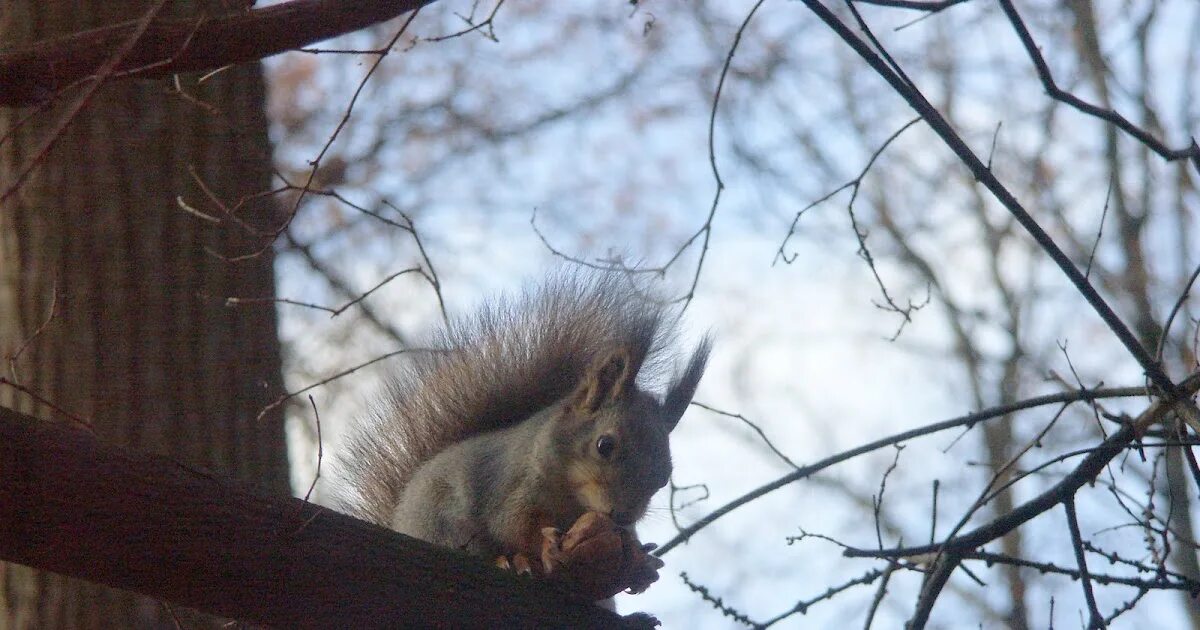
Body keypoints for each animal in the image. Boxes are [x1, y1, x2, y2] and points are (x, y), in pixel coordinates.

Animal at [338, 270, 705, 600]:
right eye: (604, 445)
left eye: (664, 478)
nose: (624, 515)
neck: (573, 498)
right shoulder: (512, 486)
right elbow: (512, 525)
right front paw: (545, 545)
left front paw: (641, 563)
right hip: (443, 524)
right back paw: (510, 562)